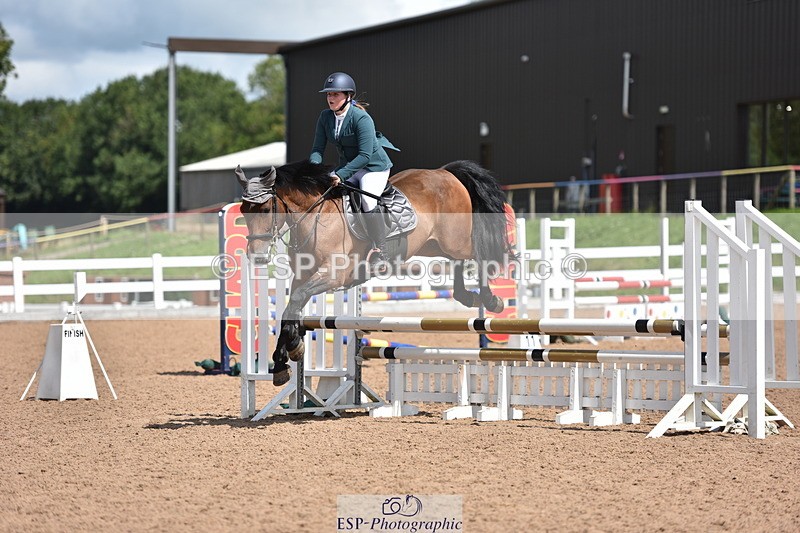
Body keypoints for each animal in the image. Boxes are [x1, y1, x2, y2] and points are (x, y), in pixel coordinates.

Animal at [237, 159, 515, 386]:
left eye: (265, 209)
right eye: (242, 212)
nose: (256, 256)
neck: (315, 216)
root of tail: (445, 172)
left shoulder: (332, 276)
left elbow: (295, 301)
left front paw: (292, 349)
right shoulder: (302, 277)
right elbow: (290, 308)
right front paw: (284, 359)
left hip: (455, 240)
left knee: (479, 254)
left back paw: (492, 299)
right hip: (433, 245)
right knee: (459, 263)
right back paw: (467, 296)